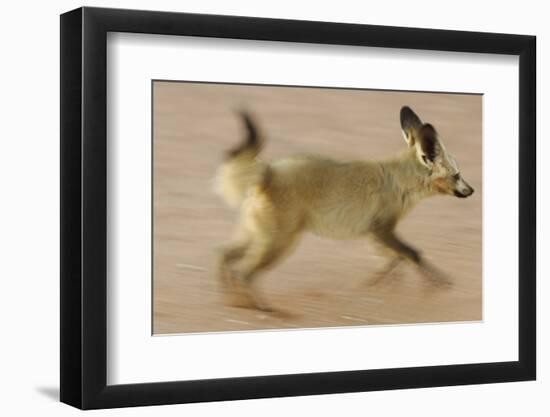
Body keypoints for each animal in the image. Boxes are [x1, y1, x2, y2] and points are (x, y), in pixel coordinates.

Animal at [216, 105, 474, 310]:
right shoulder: (381, 229)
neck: (398, 179)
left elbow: (396, 259)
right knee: (245, 273)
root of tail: (267, 172)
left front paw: (380, 283)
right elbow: (412, 254)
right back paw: (262, 308)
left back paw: (231, 299)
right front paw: (437, 282)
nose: (472, 190)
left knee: (224, 256)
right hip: (279, 242)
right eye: (457, 175)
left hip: (259, 237)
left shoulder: (376, 232)